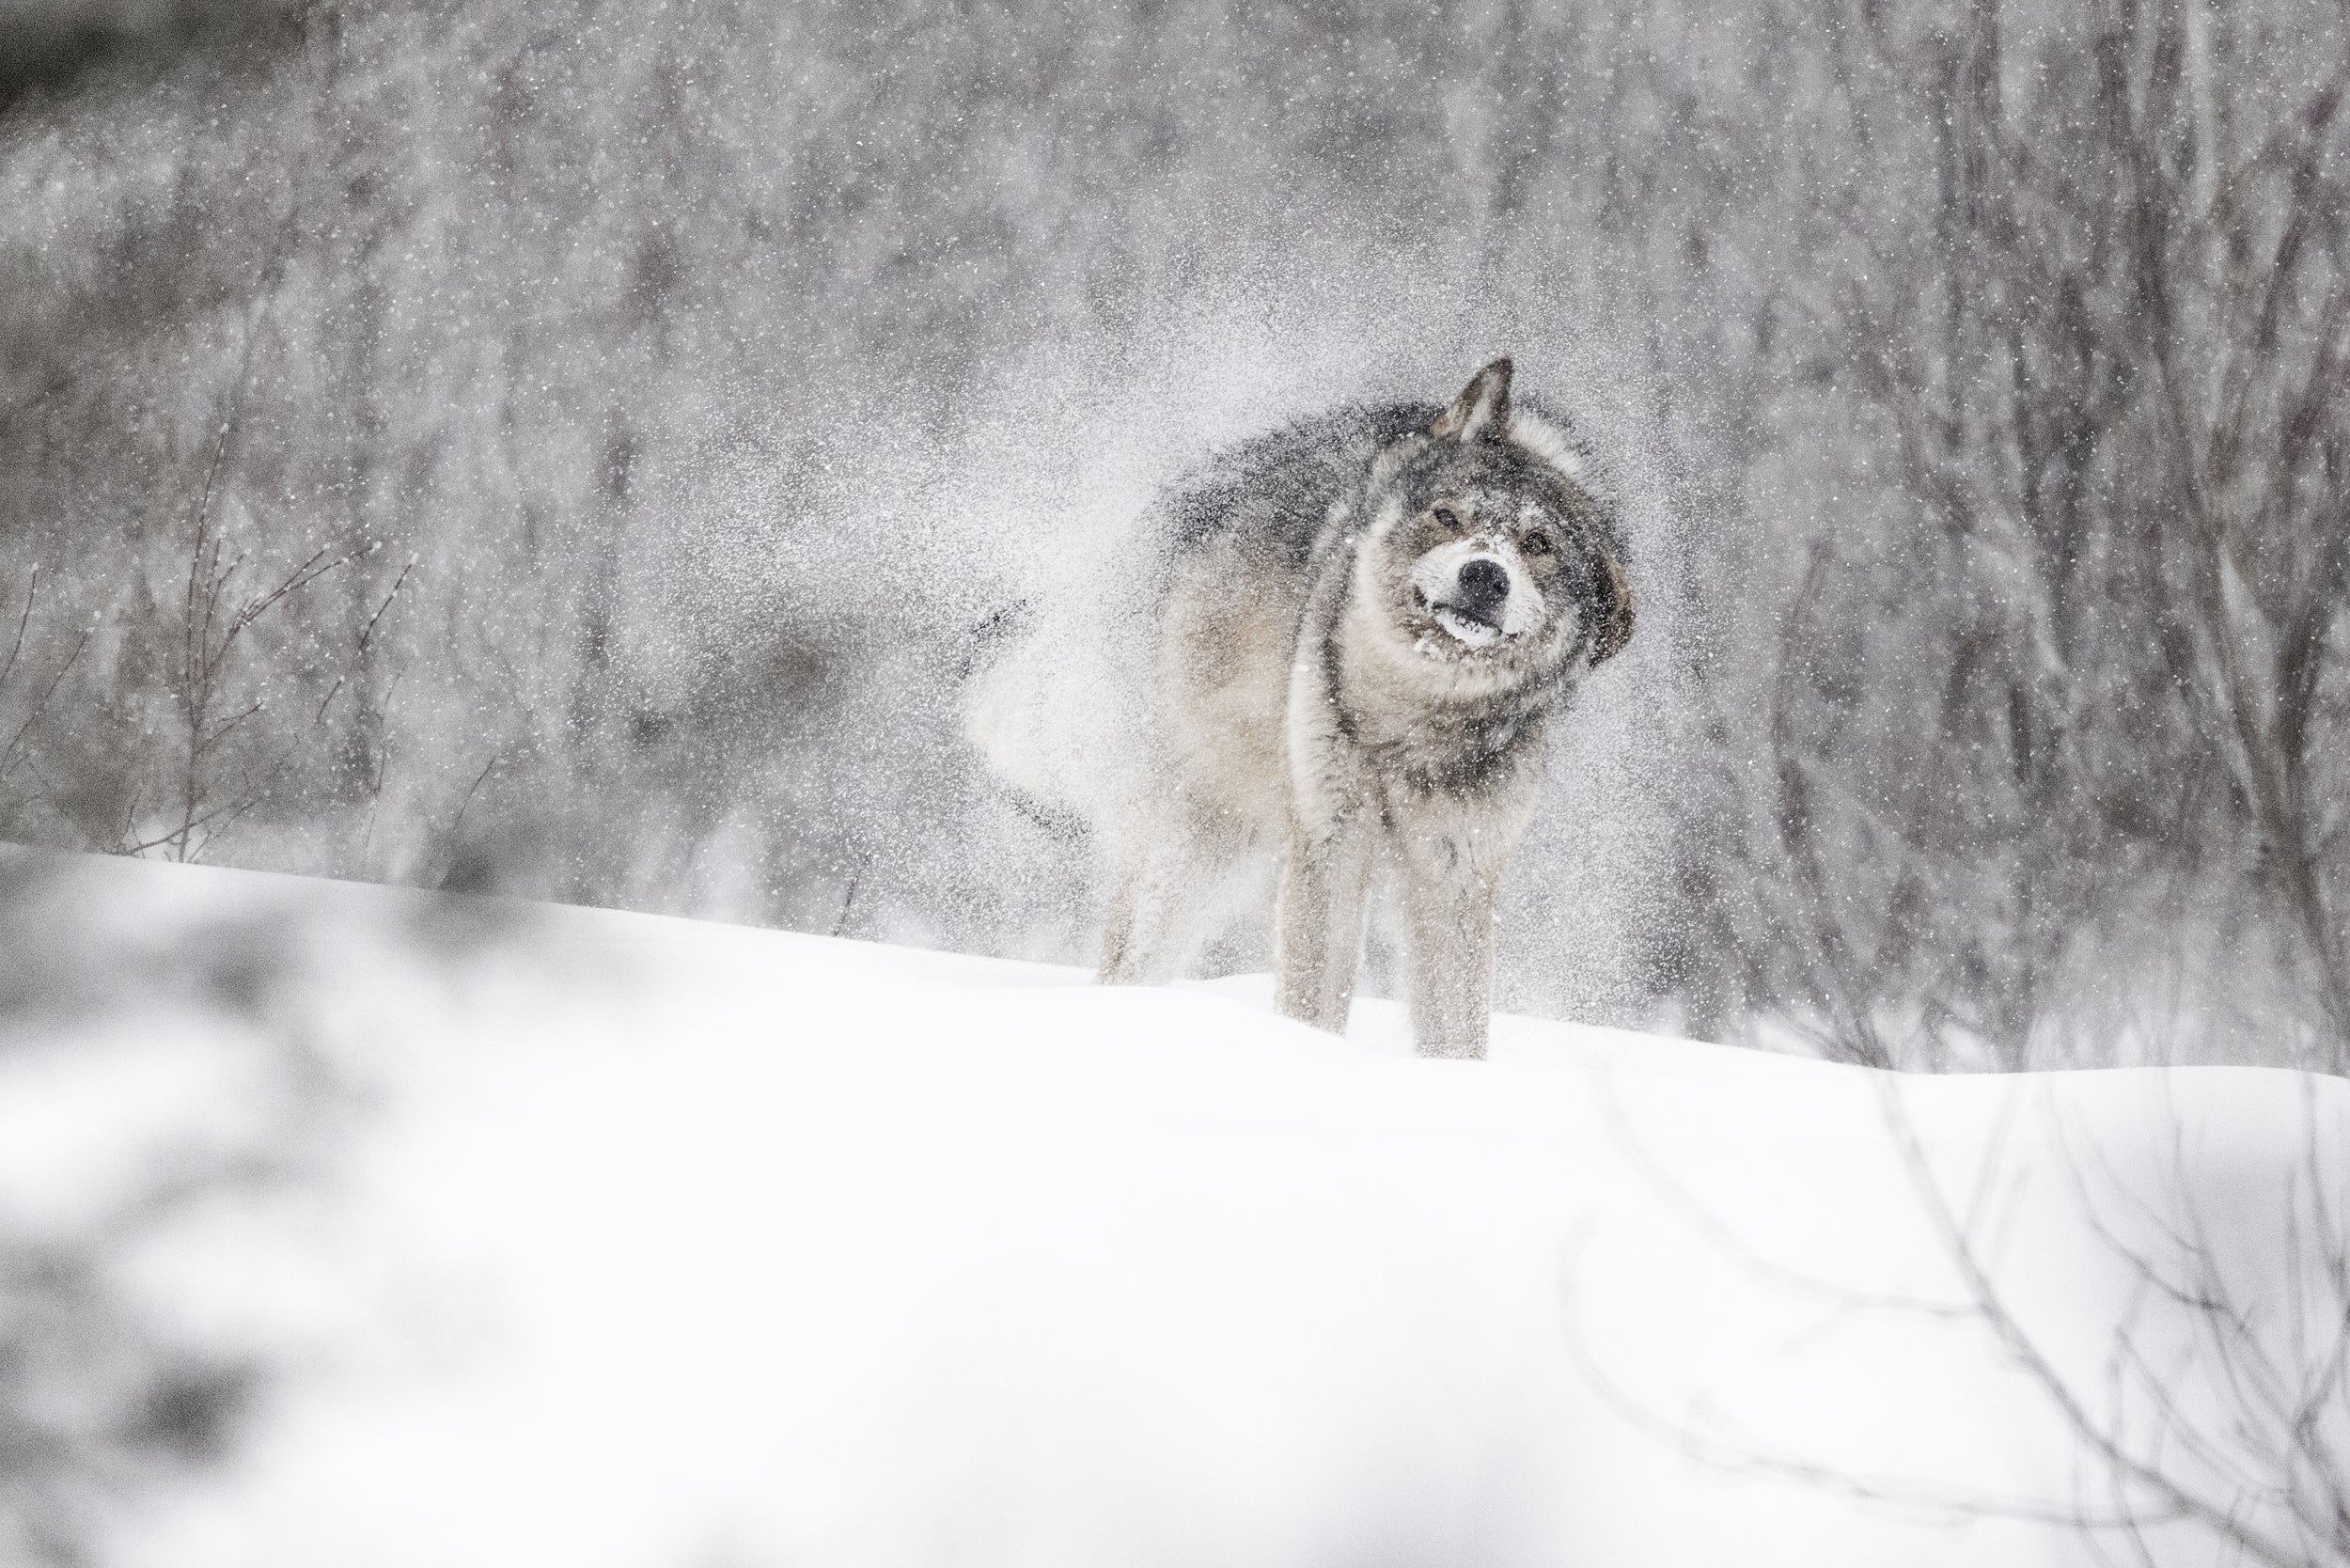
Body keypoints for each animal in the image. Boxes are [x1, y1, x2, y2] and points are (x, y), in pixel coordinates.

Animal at [965, 359, 1634, 1058]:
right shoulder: (1331, 844)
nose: (1485, 574)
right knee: (1130, 962)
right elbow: (1315, 998)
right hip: (1195, 853)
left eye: (1537, 544)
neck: (1416, 723)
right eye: (1447, 517)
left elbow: (1457, 1028)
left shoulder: (1456, 878)